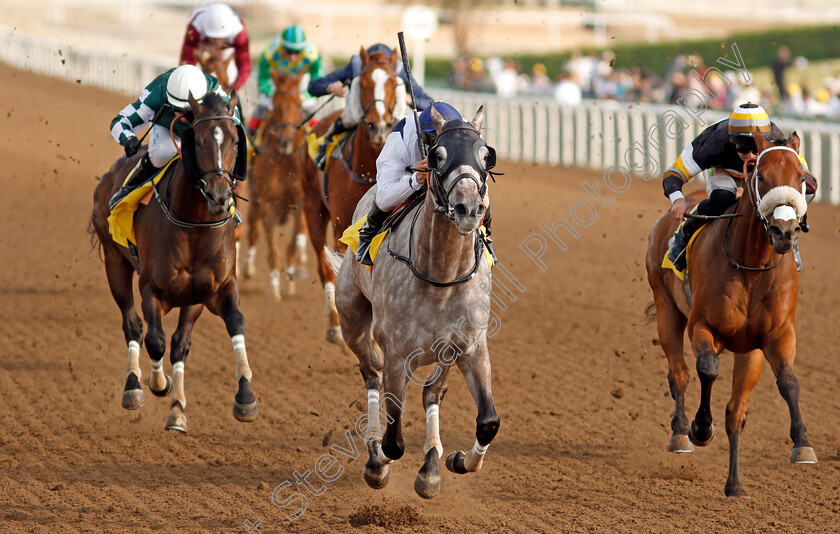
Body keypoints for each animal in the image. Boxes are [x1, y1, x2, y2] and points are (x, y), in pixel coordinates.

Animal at [90, 91, 256, 436]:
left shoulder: (215, 289)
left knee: (180, 342)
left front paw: (245, 396)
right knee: (133, 324)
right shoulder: (152, 288)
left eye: (236, 141)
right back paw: (134, 386)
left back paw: (177, 409)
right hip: (115, 263)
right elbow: (154, 340)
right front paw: (158, 383)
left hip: (191, 299)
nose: (220, 196)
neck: (193, 223)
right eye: (199, 140)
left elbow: (234, 322)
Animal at [244, 70, 310, 302]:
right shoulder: (266, 203)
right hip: (254, 200)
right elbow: (273, 249)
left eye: (298, 103)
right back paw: (247, 270)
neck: (283, 159)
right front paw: (274, 288)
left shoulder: (300, 202)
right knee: (252, 233)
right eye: (276, 104)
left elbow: (292, 242)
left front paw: (291, 277)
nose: (285, 140)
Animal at [298, 44, 406, 342]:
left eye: (393, 83)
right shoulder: (341, 225)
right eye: (365, 83)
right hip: (312, 207)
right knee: (324, 267)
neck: (369, 168)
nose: (379, 126)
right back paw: (334, 324)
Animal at [326, 107, 498, 500]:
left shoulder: (469, 346)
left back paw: (431, 465)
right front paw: (378, 461)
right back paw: (375, 453)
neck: (442, 277)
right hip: (352, 320)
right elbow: (393, 439)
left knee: (432, 393)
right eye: (438, 156)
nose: (469, 207)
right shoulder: (396, 354)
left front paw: (456, 461)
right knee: (371, 374)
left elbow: (487, 422)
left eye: (486, 156)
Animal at [648, 131, 816, 498]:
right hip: (667, 309)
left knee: (735, 411)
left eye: (802, 178)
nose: (784, 232)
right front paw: (700, 428)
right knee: (679, 374)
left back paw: (734, 483)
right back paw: (681, 432)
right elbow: (707, 368)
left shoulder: (774, 337)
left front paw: (802, 444)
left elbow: (787, 383)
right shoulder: (702, 326)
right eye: (760, 175)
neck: (751, 266)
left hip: (746, 351)